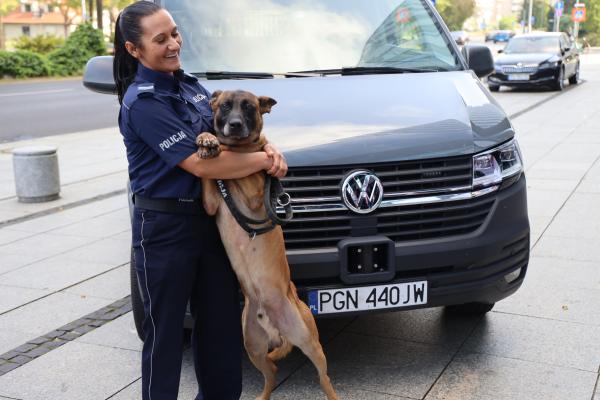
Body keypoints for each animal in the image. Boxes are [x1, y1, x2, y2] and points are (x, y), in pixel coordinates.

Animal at [196, 90, 338, 400]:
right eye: (225, 106)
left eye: (249, 108)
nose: (235, 125)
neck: (238, 149)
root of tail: (277, 328)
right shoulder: (210, 203)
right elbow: (208, 174)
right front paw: (206, 139)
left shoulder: (251, 193)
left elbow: (238, 171)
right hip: (252, 345)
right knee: (271, 373)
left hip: (310, 342)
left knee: (324, 377)